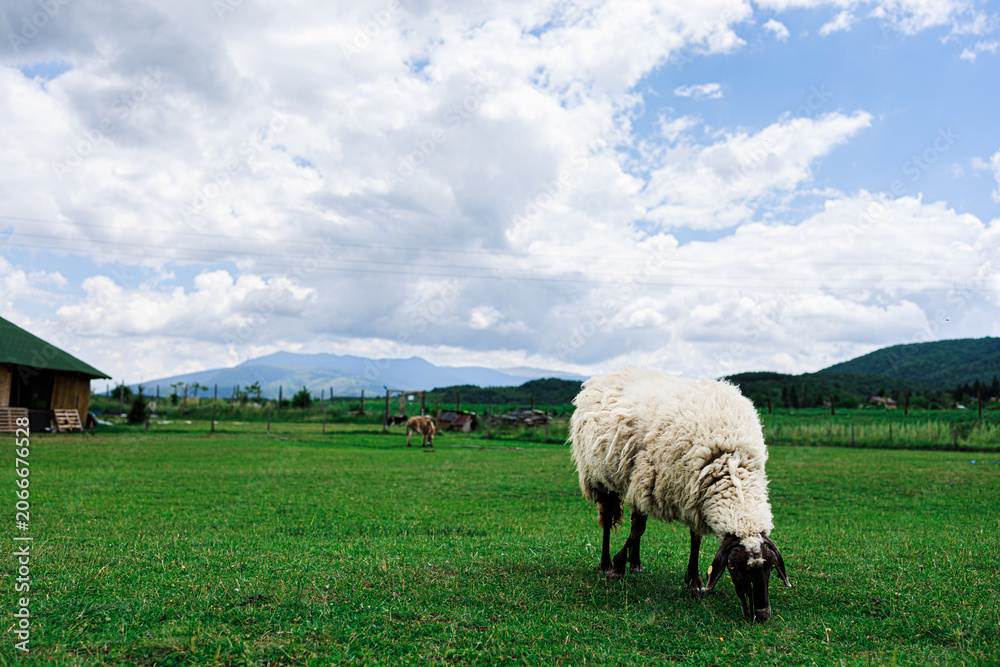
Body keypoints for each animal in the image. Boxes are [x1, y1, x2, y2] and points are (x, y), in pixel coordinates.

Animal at [570, 367, 791, 622]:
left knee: (636, 518)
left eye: (771, 567)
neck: (731, 461)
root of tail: (611, 374)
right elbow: (637, 530)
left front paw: (694, 581)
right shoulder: (652, 480)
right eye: (733, 568)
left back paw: (635, 563)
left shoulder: (692, 494)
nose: (761, 614)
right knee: (608, 521)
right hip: (600, 476)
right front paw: (616, 567)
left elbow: (694, 538)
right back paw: (605, 563)